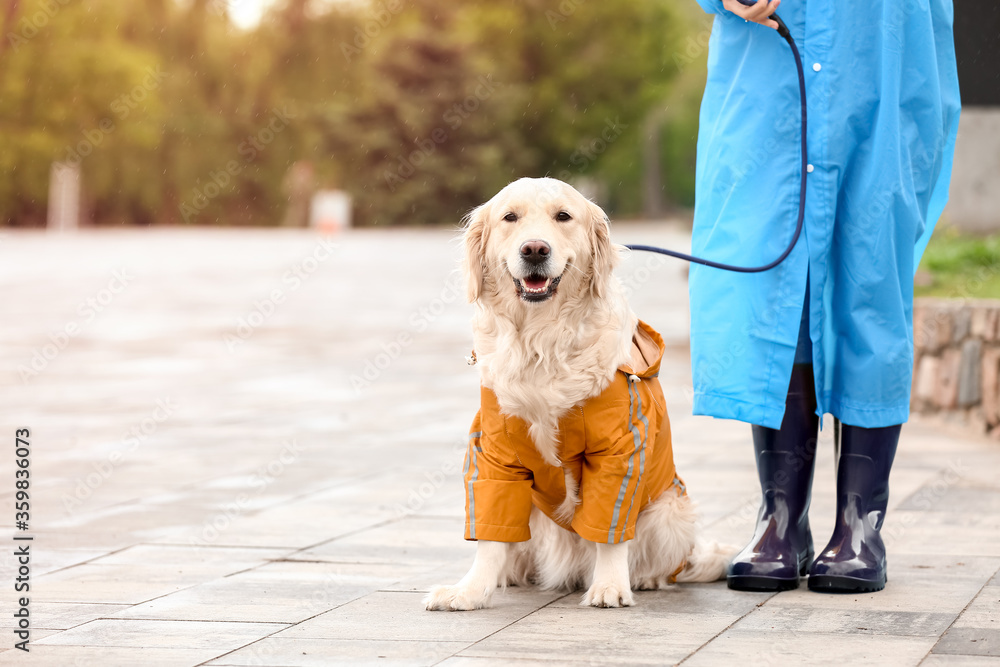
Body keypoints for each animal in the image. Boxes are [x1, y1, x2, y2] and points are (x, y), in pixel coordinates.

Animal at [424, 176, 736, 612]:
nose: (535, 249)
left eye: (563, 216)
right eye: (510, 217)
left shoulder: (619, 450)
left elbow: (610, 530)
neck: (541, 340)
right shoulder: (493, 450)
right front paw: (469, 591)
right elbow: (490, 534)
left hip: (670, 511)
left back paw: (647, 579)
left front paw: (610, 586)